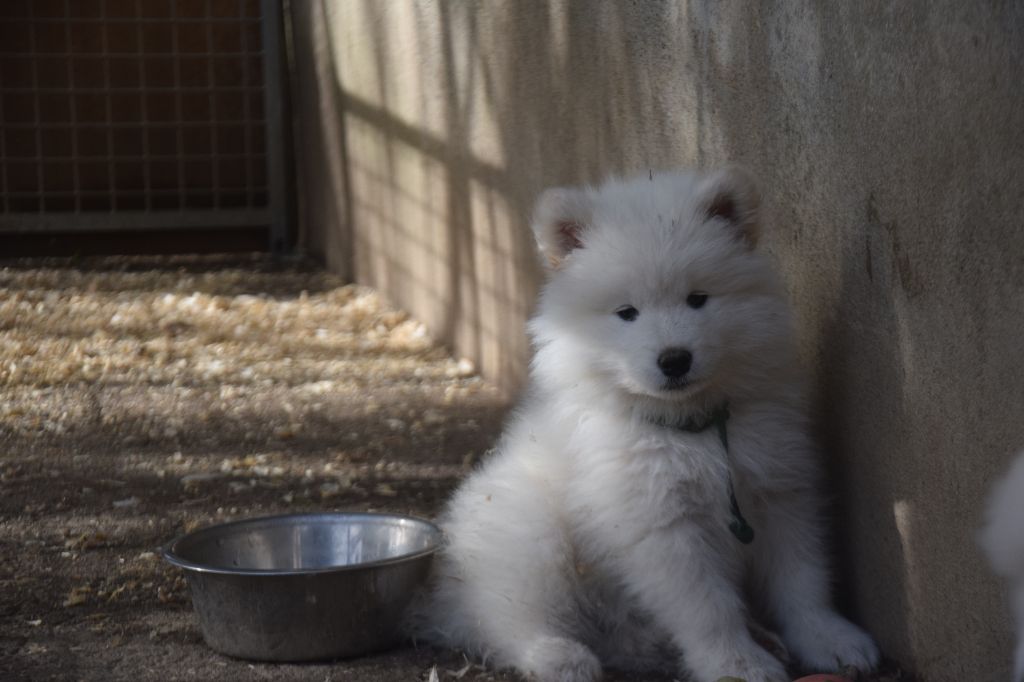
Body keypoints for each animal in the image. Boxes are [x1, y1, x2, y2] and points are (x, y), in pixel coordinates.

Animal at [411, 165, 876, 679]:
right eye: (626, 313)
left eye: (698, 299)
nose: (674, 360)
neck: (690, 427)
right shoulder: (659, 526)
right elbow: (707, 607)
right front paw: (736, 662)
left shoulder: (780, 492)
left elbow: (803, 579)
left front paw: (829, 637)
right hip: (527, 533)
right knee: (505, 617)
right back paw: (559, 655)